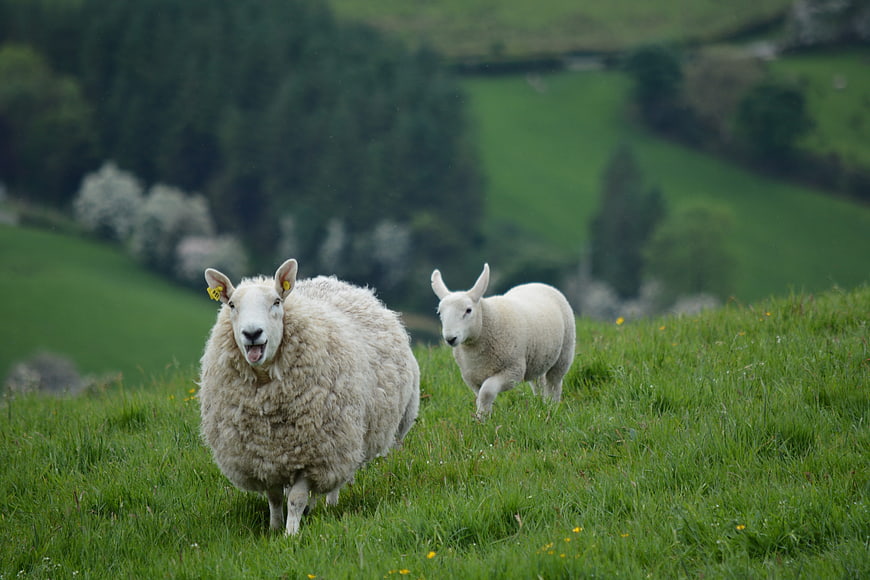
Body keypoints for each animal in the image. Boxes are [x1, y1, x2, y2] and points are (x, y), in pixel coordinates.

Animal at [199, 258, 420, 535]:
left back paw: (328, 505)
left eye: (276, 302)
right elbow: (274, 497)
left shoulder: (314, 452)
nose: (252, 333)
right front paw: (274, 529)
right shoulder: (262, 457)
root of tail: (334, 281)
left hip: (346, 439)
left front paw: (291, 534)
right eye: (231, 305)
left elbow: (296, 498)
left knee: (336, 479)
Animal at [431, 263, 575, 419]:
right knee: (539, 382)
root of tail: (537, 283)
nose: (450, 338)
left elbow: (487, 391)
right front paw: (483, 417)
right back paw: (541, 405)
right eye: (439, 313)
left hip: (564, 353)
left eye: (468, 310)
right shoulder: (472, 378)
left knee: (554, 382)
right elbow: (480, 397)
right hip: (538, 358)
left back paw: (552, 406)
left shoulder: (513, 371)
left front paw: (482, 418)